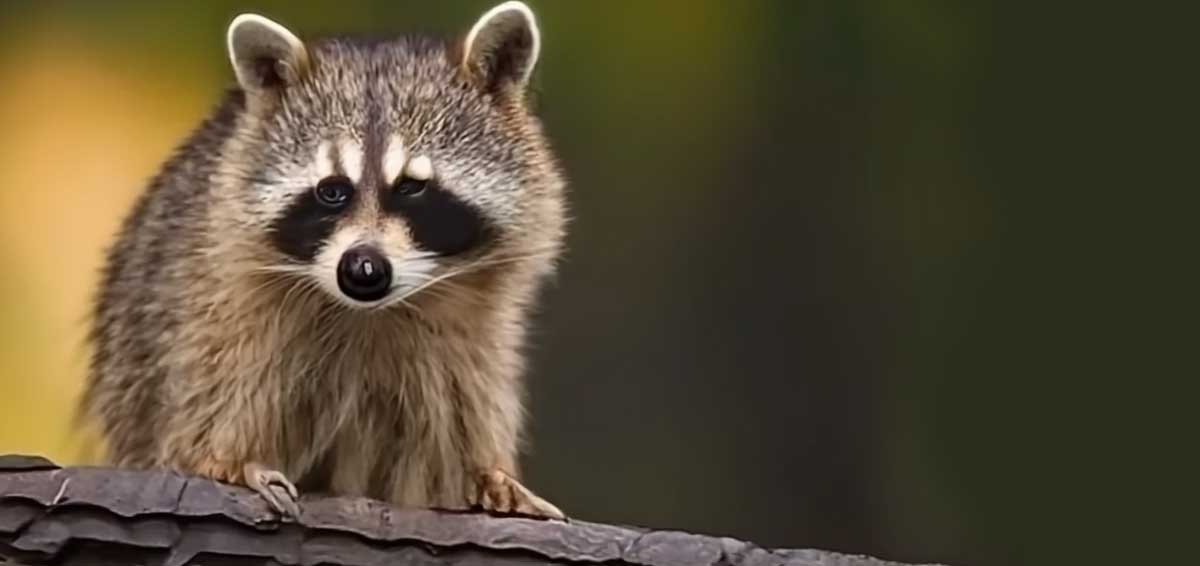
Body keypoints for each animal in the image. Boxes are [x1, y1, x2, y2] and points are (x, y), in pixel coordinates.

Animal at [79, 2, 566, 520]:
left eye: (412, 187)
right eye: (332, 191)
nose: (363, 270)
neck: (370, 314)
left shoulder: (475, 336)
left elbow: (464, 405)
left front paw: (487, 472)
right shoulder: (212, 304)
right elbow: (210, 401)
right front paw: (227, 462)